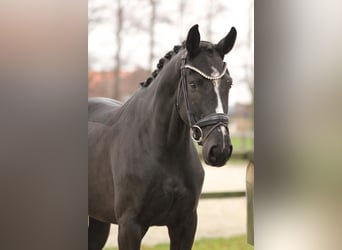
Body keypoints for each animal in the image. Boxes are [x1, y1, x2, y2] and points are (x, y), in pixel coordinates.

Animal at [88, 23, 236, 250]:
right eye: (193, 84)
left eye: (228, 84)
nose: (219, 150)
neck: (161, 149)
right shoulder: (130, 227)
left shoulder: (185, 224)